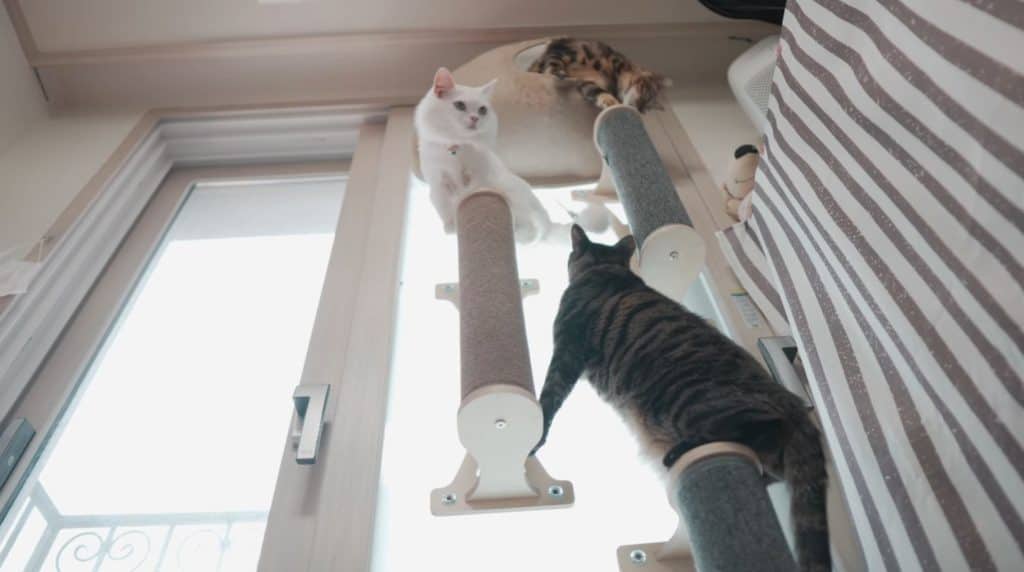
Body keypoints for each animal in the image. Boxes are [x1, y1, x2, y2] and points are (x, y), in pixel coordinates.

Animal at [411, 67, 565, 243]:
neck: (456, 146)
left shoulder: (480, 175)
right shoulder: (438, 183)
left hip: (512, 194)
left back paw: (518, 232)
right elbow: (444, 207)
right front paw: (451, 227)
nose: (475, 118)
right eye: (460, 105)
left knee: (528, 228)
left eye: (482, 110)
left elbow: (468, 190)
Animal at [528, 36, 671, 112]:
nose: (639, 111)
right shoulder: (562, 48)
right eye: (646, 94)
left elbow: (596, 91)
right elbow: (552, 64)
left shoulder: (587, 82)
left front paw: (610, 102)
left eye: (647, 110)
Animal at [536, 226, 831, 572]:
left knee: (762, 426)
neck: (605, 269)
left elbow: (550, 395)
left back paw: (681, 451)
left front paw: (536, 436)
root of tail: (791, 400)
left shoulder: (567, 349)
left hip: (685, 402)